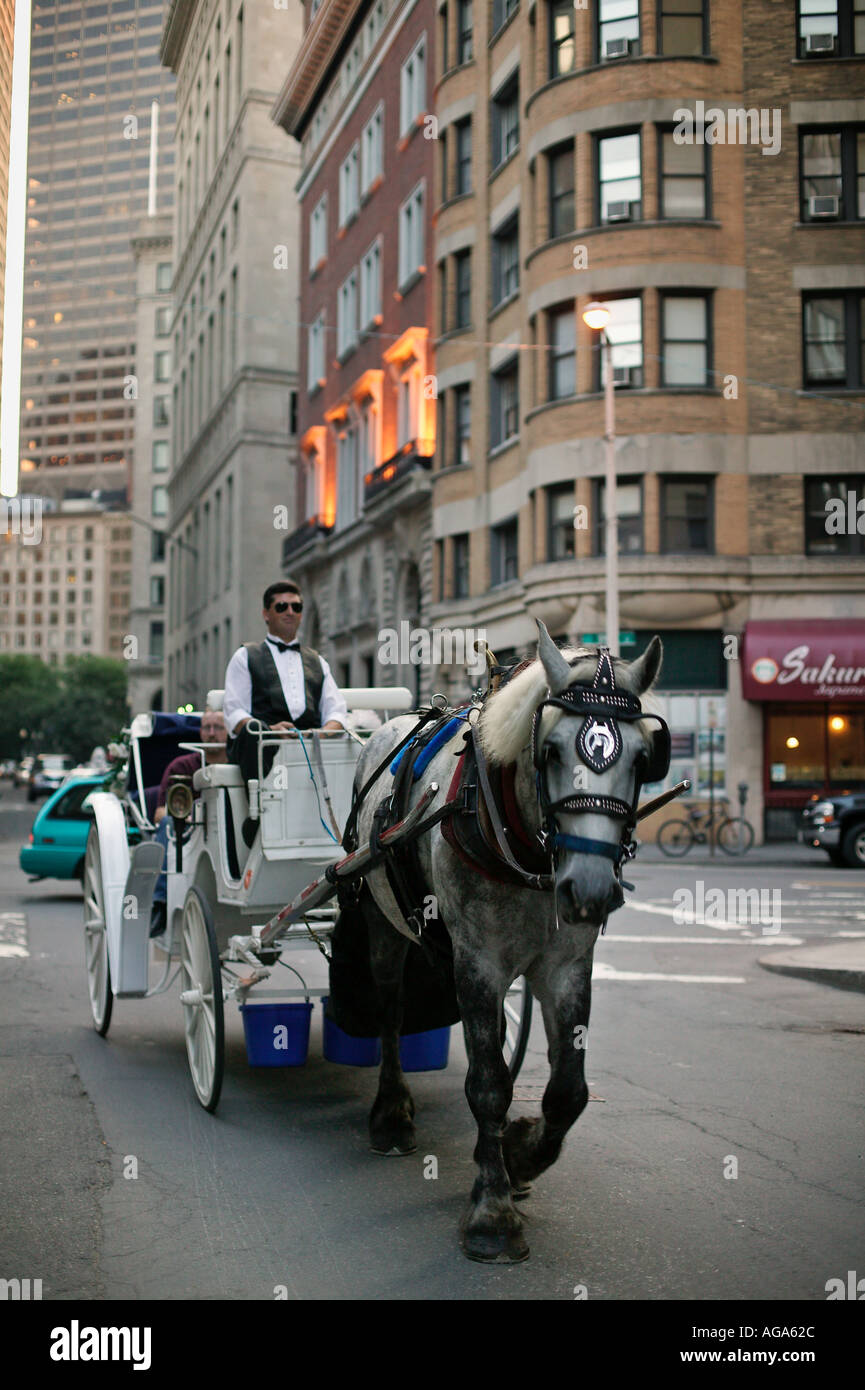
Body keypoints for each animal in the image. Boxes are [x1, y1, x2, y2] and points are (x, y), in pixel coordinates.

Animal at [356, 619, 667, 1262]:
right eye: (550, 751)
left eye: (645, 757)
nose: (590, 888)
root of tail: (393, 724)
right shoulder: (477, 962)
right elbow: (488, 1084)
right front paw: (493, 1213)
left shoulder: (566, 967)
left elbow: (567, 1090)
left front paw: (519, 1155)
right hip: (382, 917)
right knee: (392, 1010)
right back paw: (392, 1114)